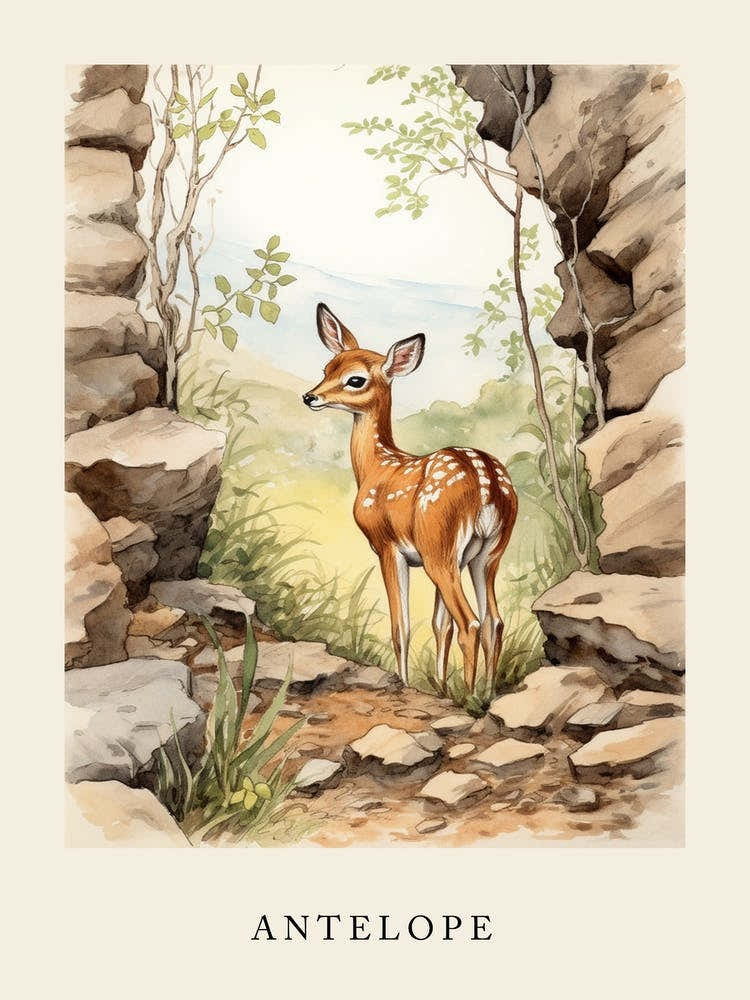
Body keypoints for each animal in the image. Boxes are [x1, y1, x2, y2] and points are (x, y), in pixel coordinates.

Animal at [303, 303, 518, 694]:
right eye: (327, 368)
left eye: (355, 379)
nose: (311, 396)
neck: (378, 466)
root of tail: (487, 483)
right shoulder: (452, 556)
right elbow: (438, 625)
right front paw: (440, 684)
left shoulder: (387, 545)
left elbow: (400, 626)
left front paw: (405, 683)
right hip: (487, 553)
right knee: (493, 621)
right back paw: (486, 692)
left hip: (438, 546)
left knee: (471, 623)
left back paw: (469, 696)